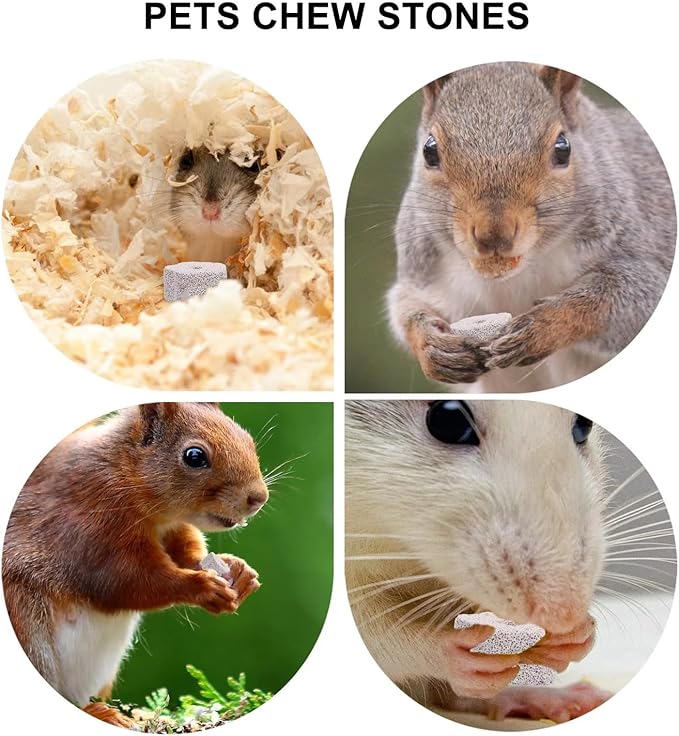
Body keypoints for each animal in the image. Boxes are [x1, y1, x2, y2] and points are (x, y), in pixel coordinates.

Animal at [2, 402, 269, 728]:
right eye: (194, 456)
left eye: (248, 440)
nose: (258, 497)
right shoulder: (89, 523)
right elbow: (127, 581)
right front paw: (201, 587)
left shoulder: (172, 529)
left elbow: (186, 553)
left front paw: (240, 572)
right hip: (26, 622)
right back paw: (103, 713)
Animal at [388, 62, 676, 391]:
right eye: (429, 150)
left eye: (563, 148)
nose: (493, 235)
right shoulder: (422, 271)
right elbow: (405, 309)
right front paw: (430, 346)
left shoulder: (640, 248)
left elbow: (623, 300)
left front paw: (542, 326)